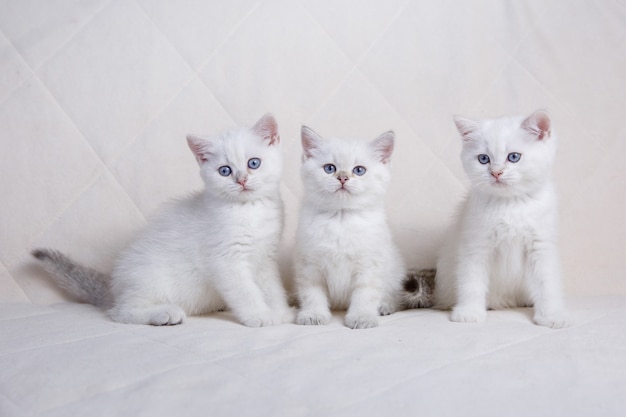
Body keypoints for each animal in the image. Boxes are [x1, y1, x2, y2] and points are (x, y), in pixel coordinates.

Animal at [35, 114, 294, 328]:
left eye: (253, 163)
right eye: (224, 171)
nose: (241, 180)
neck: (250, 210)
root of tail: (114, 289)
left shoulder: (265, 258)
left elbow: (272, 288)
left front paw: (281, 311)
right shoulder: (226, 260)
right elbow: (246, 292)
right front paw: (260, 315)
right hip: (150, 279)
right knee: (121, 312)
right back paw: (164, 314)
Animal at [292, 127, 404, 328]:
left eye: (359, 170)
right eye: (330, 168)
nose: (343, 177)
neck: (341, 218)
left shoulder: (369, 264)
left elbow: (365, 294)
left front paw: (362, 317)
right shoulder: (309, 264)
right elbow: (312, 292)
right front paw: (313, 314)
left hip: (395, 270)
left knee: (393, 295)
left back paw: (384, 306)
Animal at [432, 110, 568, 328]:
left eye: (513, 157)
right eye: (483, 159)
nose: (496, 172)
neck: (510, 204)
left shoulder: (540, 245)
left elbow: (546, 283)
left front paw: (551, 315)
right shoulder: (475, 245)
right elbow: (471, 281)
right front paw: (469, 312)